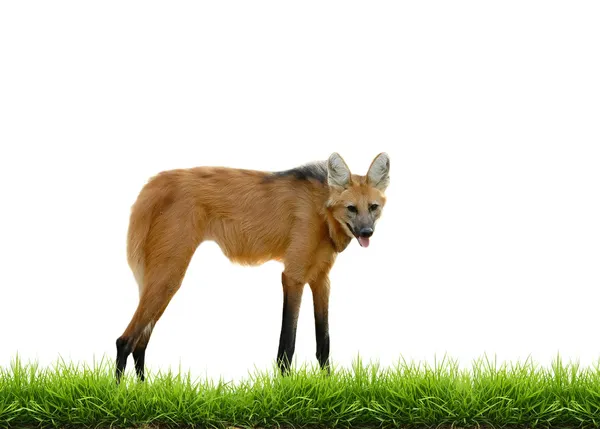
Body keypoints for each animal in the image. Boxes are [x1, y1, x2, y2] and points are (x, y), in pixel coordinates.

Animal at [116, 151, 390, 382]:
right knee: (125, 341)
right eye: (351, 208)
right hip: (169, 276)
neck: (323, 211)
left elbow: (324, 342)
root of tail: (154, 182)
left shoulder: (321, 278)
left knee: (141, 342)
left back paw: (146, 391)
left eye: (373, 208)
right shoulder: (293, 275)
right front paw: (286, 391)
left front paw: (327, 386)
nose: (366, 232)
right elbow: (287, 343)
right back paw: (123, 397)